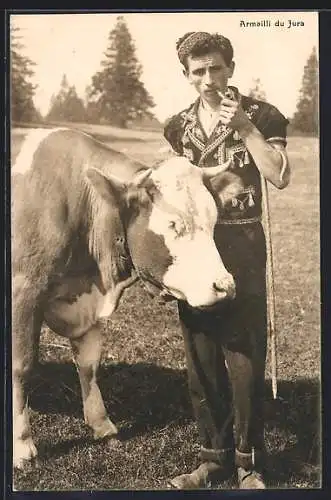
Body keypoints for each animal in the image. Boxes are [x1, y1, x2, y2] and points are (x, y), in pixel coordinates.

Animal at [11, 128, 241, 468]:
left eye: (213, 221)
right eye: (173, 224)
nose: (225, 286)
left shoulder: (89, 307)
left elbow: (89, 365)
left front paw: (101, 424)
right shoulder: (23, 292)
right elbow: (21, 366)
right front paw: (21, 444)